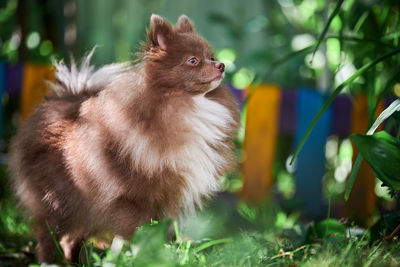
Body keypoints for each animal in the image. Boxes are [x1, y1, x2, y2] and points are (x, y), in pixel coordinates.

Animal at [9, 14, 239, 264]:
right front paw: (147, 256)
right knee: (47, 236)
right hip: (59, 202)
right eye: (193, 61)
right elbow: (141, 232)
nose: (221, 65)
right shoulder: (133, 200)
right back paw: (47, 263)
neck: (183, 105)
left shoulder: (169, 198)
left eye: (211, 57)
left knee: (70, 240)